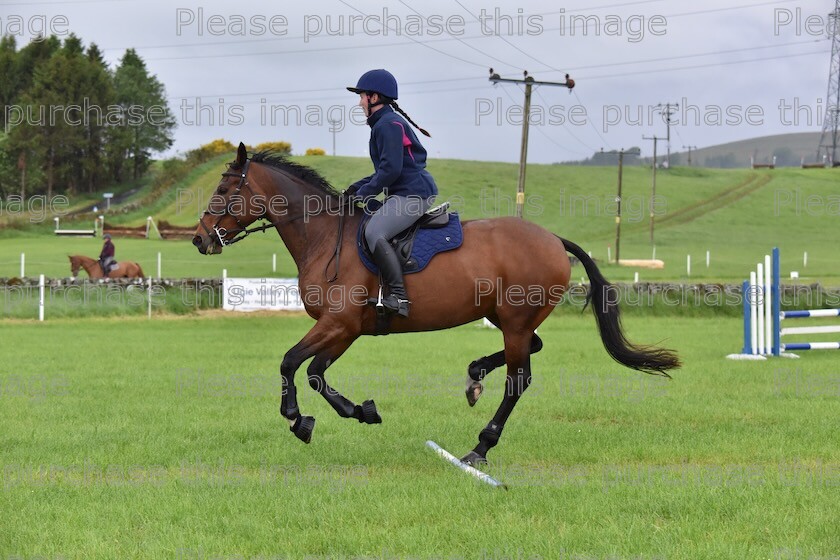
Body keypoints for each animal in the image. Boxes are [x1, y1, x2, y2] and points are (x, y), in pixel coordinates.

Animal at [192, 143, 684, 464]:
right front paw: (360, 412)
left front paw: (297, 420)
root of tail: (551, 238)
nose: (199, 240)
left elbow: (290, 363)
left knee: (519, 380)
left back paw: (480, 447)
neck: (324, 236)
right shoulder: (346, 329)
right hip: (505, 316)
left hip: (514, 320)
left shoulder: (338, 323)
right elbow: (314, 373)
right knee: (530, 349)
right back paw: (475, 377)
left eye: (224, 192)